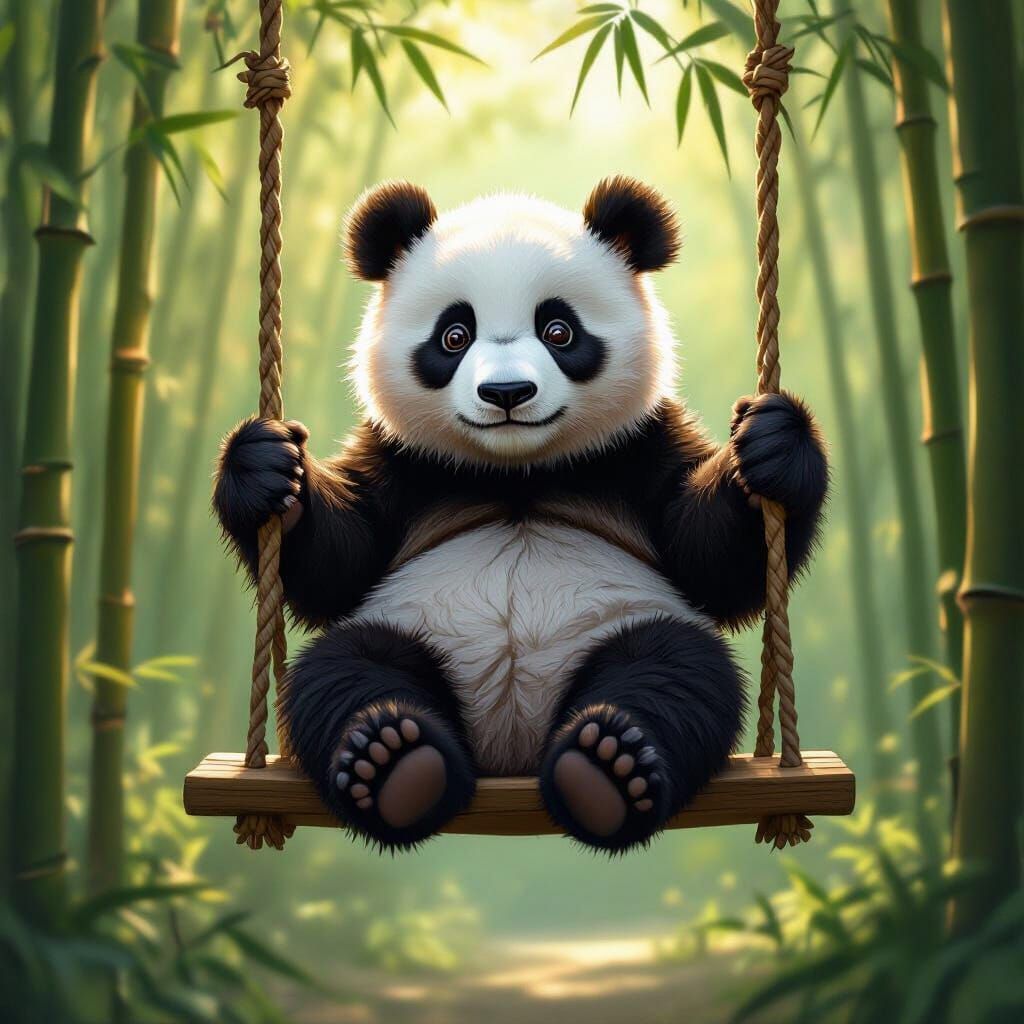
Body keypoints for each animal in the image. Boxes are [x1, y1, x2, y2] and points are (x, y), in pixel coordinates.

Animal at [214, 176, 827, 853]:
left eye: (559, 331)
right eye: (454, 336)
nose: (506, 394)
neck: (518, 473)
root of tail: (510, 752)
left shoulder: (638, 448)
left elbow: (710, 561)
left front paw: (771, 444)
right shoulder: (403, 463)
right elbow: (339, 563)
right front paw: (267, 466)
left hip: (621, 625)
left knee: (676, 668)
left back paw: (606, 765)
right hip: (412, 628)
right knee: (348, 668)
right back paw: (394, 760)